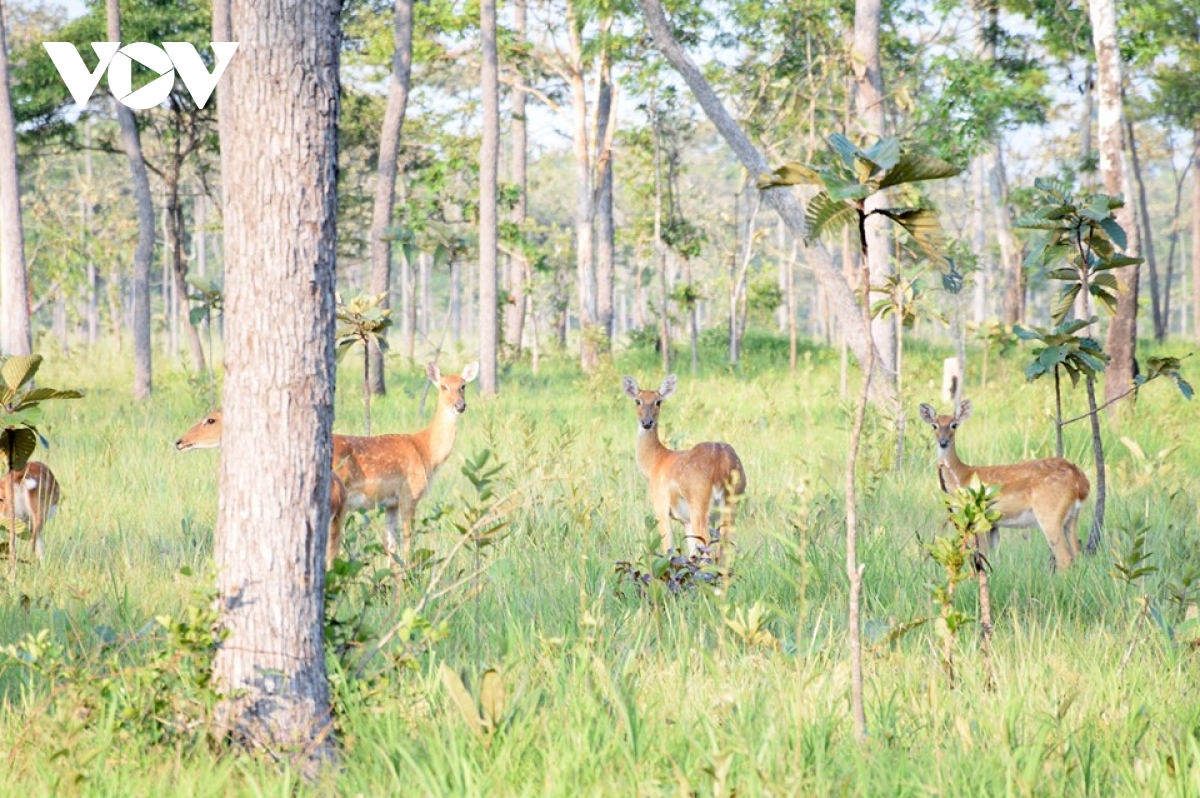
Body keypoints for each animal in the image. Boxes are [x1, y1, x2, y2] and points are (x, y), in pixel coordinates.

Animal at [624, 376, 744, 564]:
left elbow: (669, 550)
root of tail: (722, 463)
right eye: (638, 401)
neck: (655, 463)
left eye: (658, 401)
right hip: (732, 503)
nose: (647, 423)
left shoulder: (661, 508)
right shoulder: (684, 520)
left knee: (707, 550)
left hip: (699, 502)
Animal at [916, 400, 1089, 568]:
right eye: (934, 425)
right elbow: (993, 558)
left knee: (1064, 558)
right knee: (1078, 554)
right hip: (1072, 517)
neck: (962, 476)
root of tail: (1081, 481)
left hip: (1049, 513)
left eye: (954, 425)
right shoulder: (994, 525)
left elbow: (981, 556)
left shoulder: (979, 518)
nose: (943, 442)